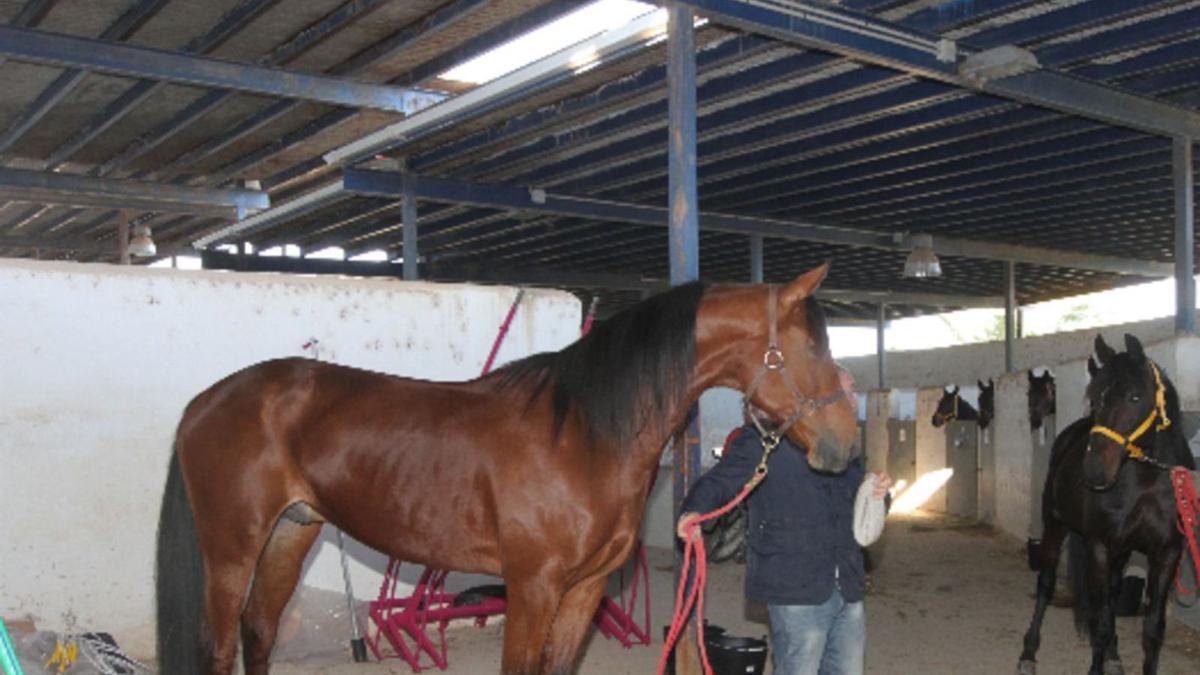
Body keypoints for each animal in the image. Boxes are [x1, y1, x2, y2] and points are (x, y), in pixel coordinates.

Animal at [157, 263, 864, 672]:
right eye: (810, 347)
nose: (845, 447)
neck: (582, 435)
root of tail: (204, 401)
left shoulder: (583, 591)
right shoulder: (532, 588)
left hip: (292, 531)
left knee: (258, 631)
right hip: (232, 548)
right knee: (218, 646)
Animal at [1017, 331, 1195, 672]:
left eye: (1135, 397)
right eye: (1095, 397)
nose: (1095, 472)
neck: (1146, 481)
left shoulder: (1166, 553)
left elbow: (1152, 631)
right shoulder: (1100, 547)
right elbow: (1099, 623)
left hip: (1120, 552)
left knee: (1112, 594)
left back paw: (1113, 655)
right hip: (1055, 527)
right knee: (1046, 584)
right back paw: (1028, 654)